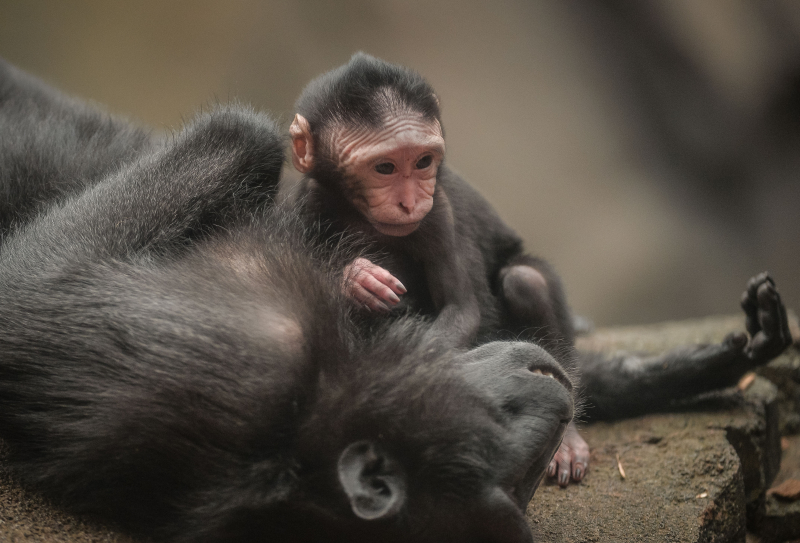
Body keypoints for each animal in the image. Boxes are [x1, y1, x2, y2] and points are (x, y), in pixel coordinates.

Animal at [282, 52, 793, 487]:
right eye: (385, 168)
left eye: (423, 161)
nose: (410, 200)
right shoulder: (303, 206)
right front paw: (356, 280)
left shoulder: (439, 211)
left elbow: (462, 308)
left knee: (525, 282)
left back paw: (564, 437)